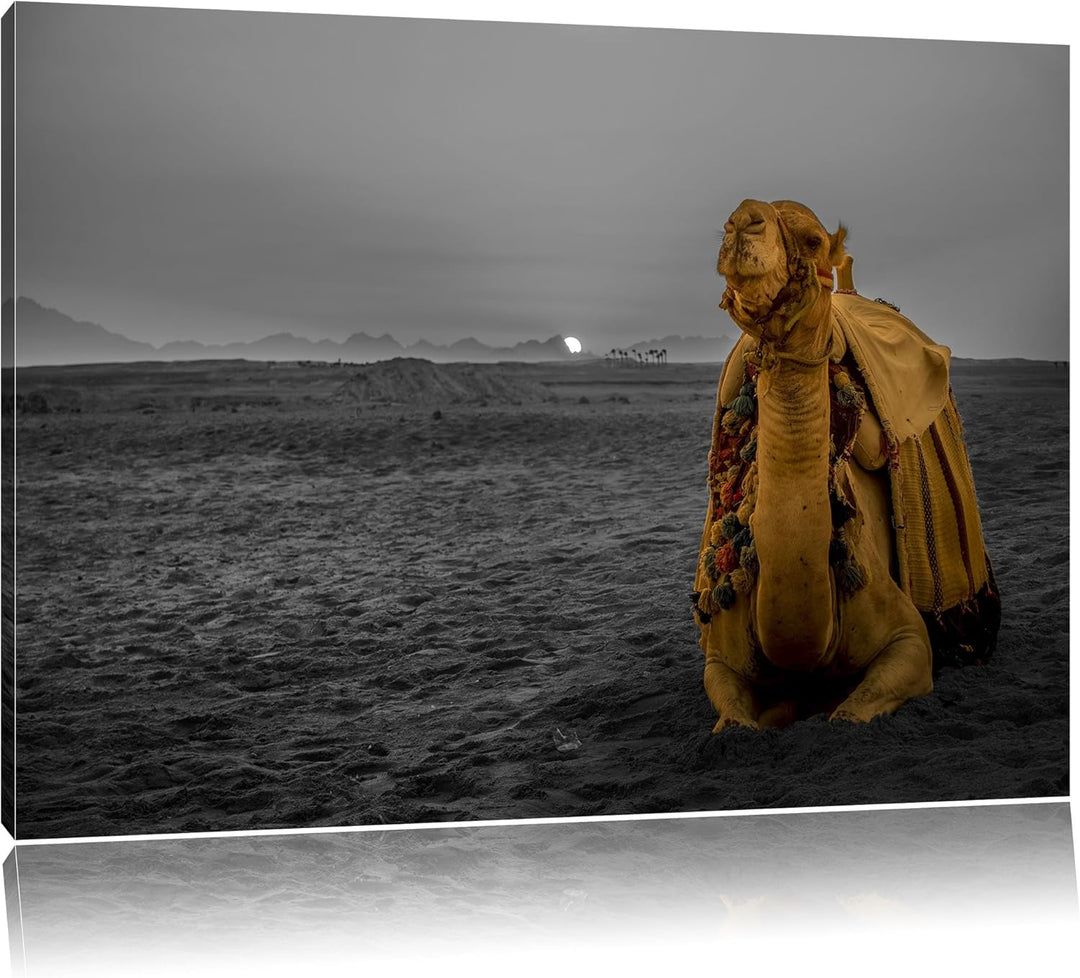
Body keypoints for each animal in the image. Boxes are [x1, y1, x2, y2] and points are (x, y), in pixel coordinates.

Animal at [694, 198, 997, 731]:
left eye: (814, 240)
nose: (742, 219)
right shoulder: (720, 659)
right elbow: (732, 723)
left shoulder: (909, 641)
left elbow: (848, 716)